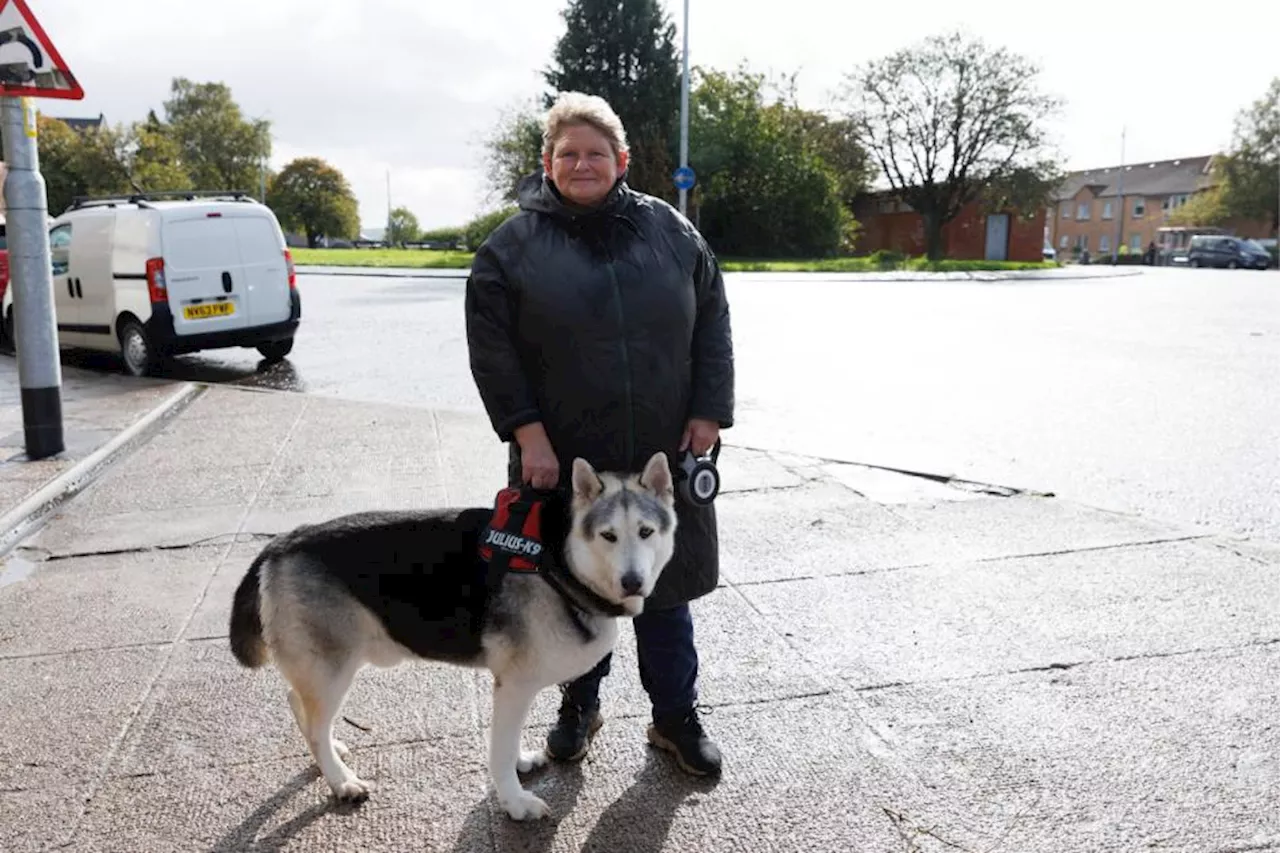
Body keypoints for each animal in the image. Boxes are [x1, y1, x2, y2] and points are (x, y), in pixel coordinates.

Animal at [227, 450, 680, 819]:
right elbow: (499, 750)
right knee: (314, 723)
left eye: (645, 532)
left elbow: (509, 738)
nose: (633, 582)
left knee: (299, 705)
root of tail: (284, 542)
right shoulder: (514, 685)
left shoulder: (515, 689)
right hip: (332, 669)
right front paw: (515, 802)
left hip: (325, 669)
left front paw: (518, 763)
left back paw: (330, 755)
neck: (559, 557)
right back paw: (340, 780)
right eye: (608, 535)